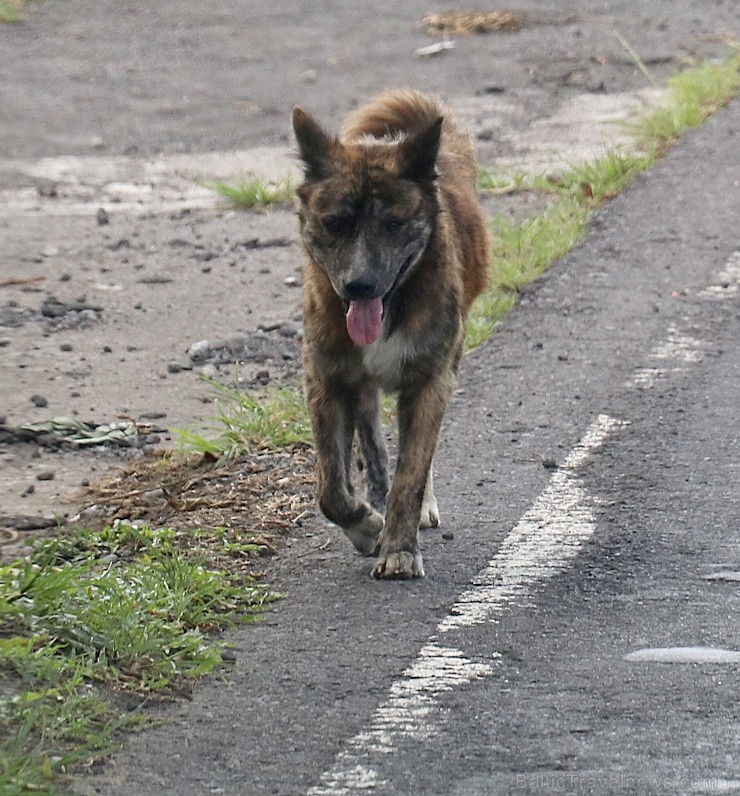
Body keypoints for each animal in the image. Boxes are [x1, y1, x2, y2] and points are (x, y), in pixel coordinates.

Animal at [292, 90, 488, 580]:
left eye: (394, 224)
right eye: (334, 223)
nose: (359, 285)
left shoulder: (431, 381)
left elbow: (412, 473)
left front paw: (399, 546)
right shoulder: (327, 383)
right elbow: (332, 489)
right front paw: (365, 526)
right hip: (360, 388)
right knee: (374, 450)